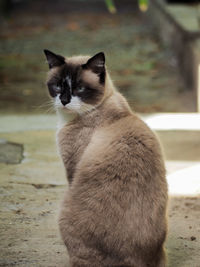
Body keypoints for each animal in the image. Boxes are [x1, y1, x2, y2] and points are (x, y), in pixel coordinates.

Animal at [44, 50, 169, 267]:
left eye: (80, 88)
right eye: (58, 86)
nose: (64, 100)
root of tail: (136, 261)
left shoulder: (72, 167)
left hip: (64, 212)